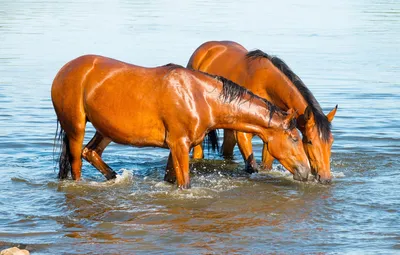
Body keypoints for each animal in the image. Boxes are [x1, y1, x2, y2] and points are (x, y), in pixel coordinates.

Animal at [51, 54, 310, 188]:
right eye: (295, 138)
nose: (306, 171)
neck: (199, 96)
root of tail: (65, 69)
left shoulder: (175, 147)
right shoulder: (180, 145)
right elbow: (184, 184)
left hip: (105, 130)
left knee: (91, 152)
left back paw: (115, 177)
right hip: (75, 128)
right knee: (76, 164)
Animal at [188, 40, 338, 183]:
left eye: (331, 141)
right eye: (310, 141)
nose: (325, 178)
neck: (266, 85)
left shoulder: (274, 136)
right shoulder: (243, 134)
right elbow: (252, 167)